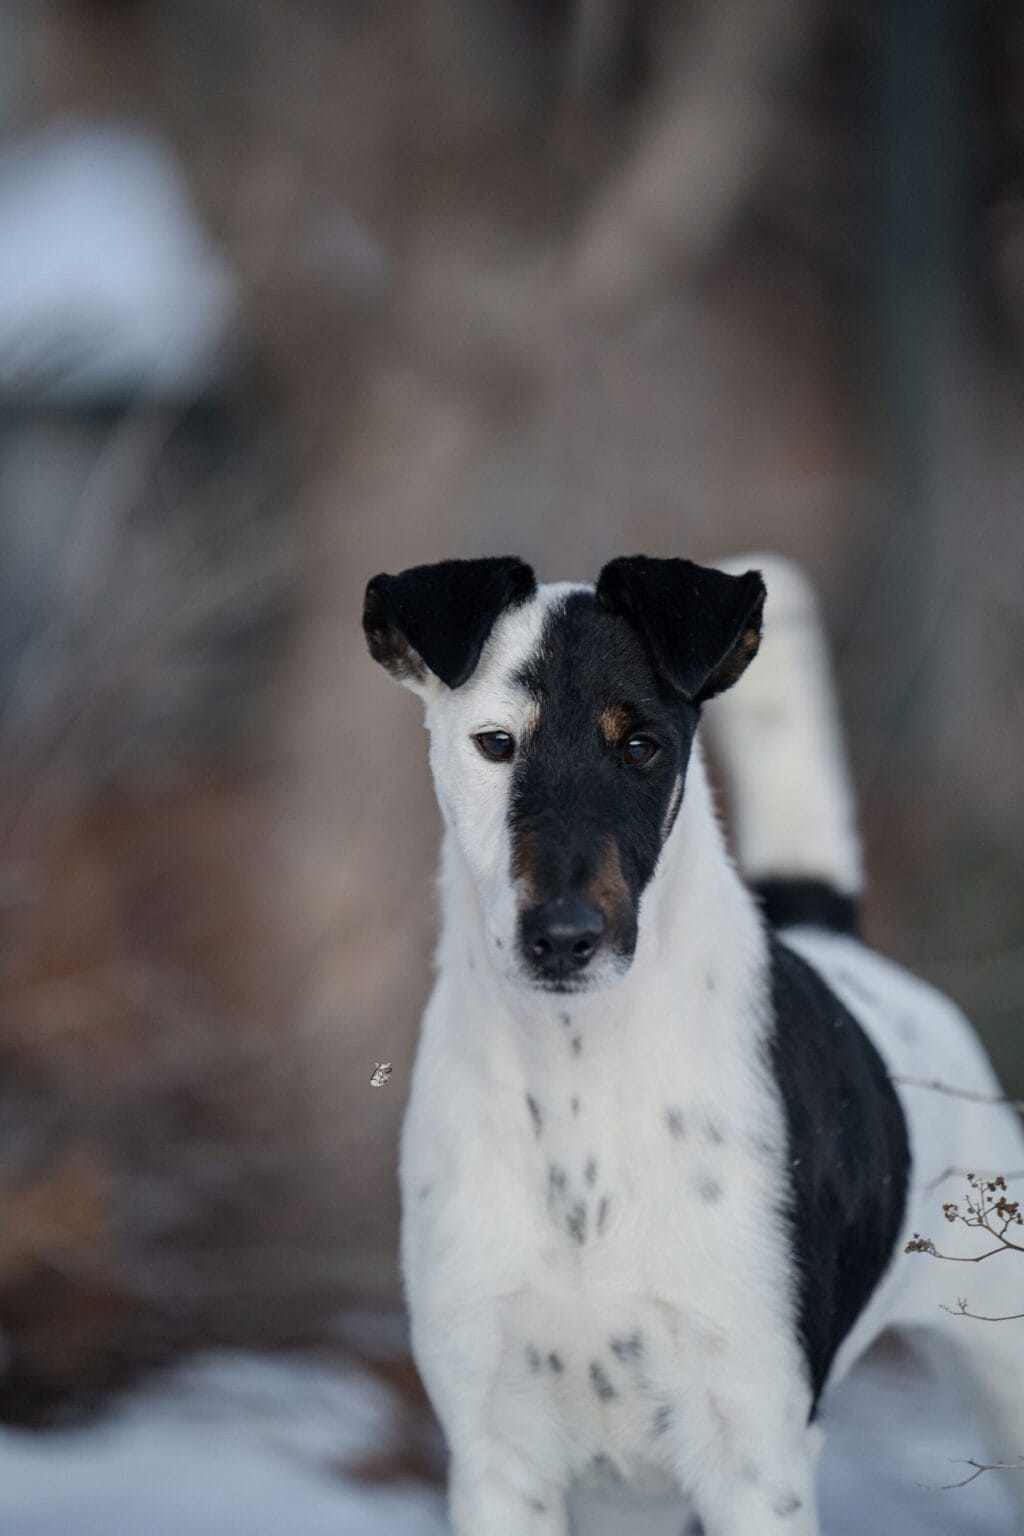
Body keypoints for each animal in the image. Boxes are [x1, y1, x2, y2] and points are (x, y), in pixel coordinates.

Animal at [362, 556, 1024, 1536]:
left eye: (641, 746)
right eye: (494, 744)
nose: (563, 937)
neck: (578, 1082)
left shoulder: (755, 1459)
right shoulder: (498, 1461)